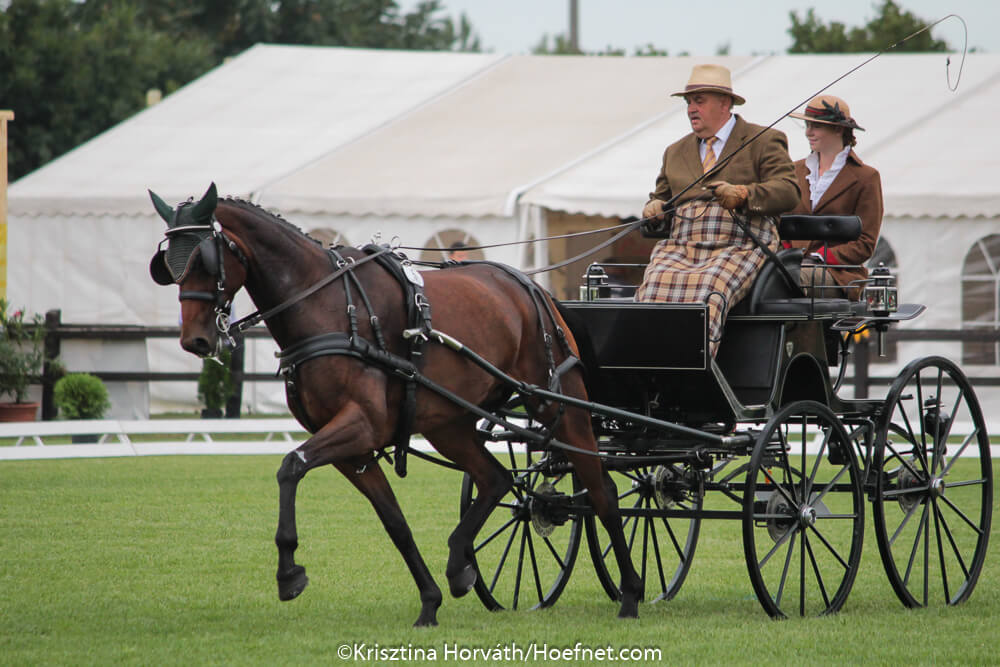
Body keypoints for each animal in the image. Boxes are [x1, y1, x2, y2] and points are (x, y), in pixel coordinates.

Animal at [148, 183, 640, 628]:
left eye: (203, 259)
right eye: (167, 264)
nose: (195, 340)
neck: (324, 304)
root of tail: (532, 289)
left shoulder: (359, 425)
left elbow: (291, 466)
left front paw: (288, 571)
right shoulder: (352, 447)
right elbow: (394, 521)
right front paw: (429, 602)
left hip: (560, 405)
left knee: (602, 490)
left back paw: (631, 593)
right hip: (450, 424)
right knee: (496, 478)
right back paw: (460, 564)